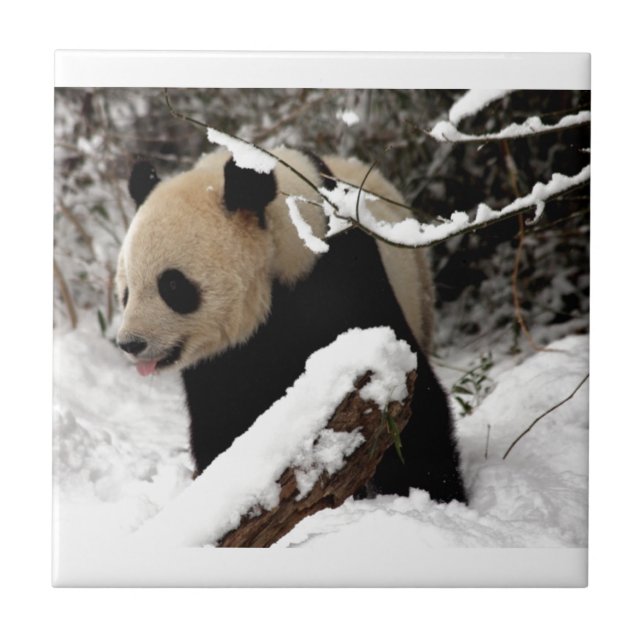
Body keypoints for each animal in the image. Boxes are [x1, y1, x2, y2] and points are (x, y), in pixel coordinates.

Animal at [116, 146, 466, 503]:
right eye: (127, 291)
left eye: (172, 285)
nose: (131, 343)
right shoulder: (219, 362)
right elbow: (221, 419)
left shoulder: (345, 279)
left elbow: (409, 398)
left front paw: (430, 493)